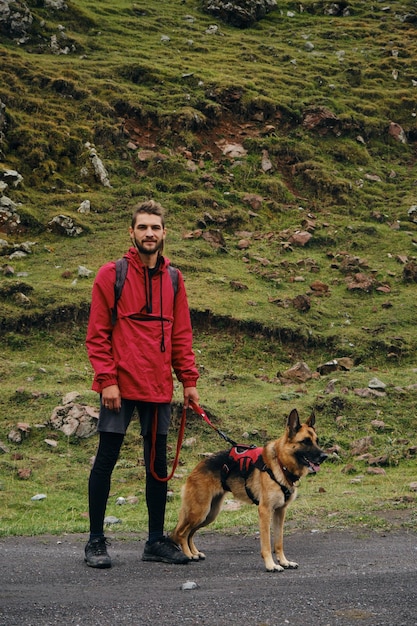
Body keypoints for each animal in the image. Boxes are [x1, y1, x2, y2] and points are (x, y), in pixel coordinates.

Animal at [171, 410, 326, 572]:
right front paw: (271, 565)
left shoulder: (280, 512)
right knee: (181, 533)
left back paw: (194, 552)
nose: (324, 456)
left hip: (209, 514)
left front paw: (284, 562)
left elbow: (279, 542)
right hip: (199, 512)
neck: (280, 463)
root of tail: (197, 468)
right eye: (305, 441)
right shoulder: (265, 511)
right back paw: (188, 554)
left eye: (317, 441)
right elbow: (267, 543)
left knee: (190, 533)